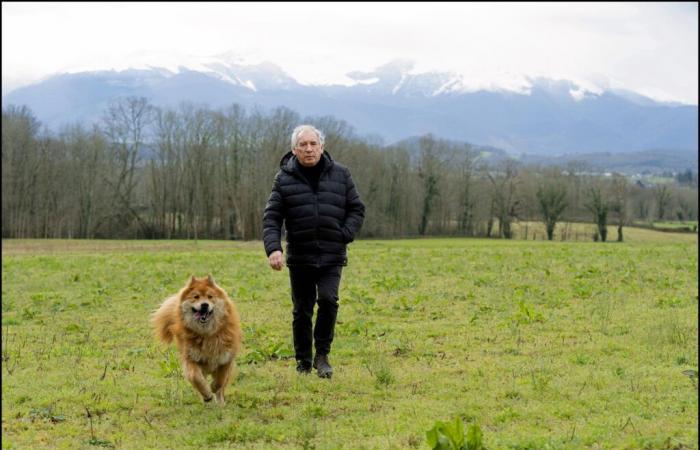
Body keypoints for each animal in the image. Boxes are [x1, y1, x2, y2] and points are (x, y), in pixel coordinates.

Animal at [152, 274, 242, 404]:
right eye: (196, 297)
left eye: (210, 297)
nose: (205, 304)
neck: (207, 334)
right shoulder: (191, 359)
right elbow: (196, 378)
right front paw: (207, 394)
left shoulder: (226, 359)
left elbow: (220, 380)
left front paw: (214, 388)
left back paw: (220, 402)